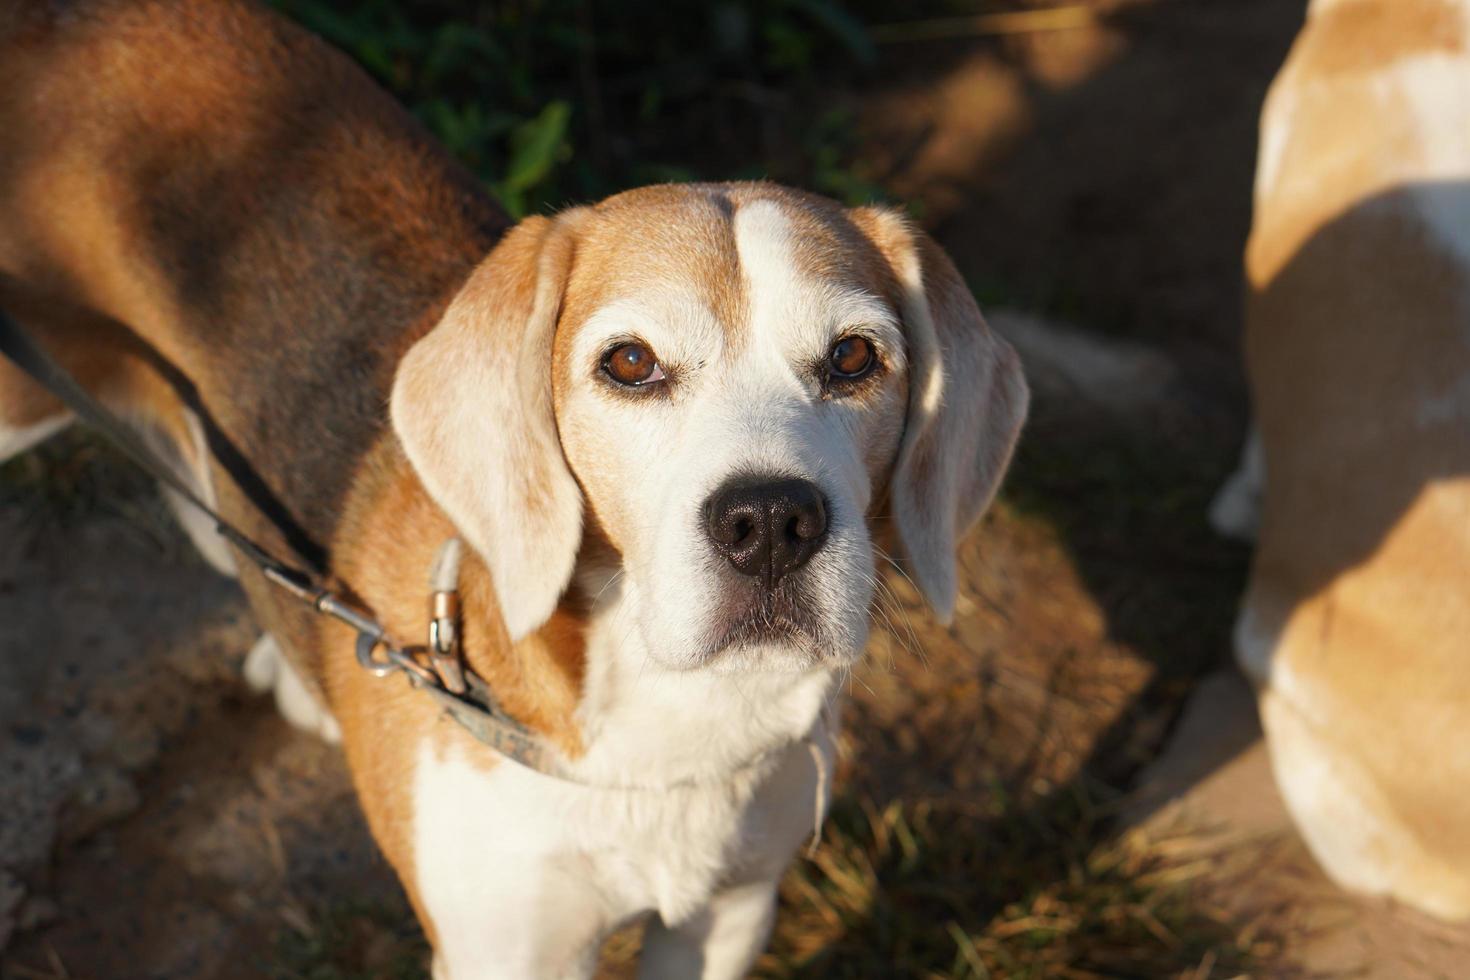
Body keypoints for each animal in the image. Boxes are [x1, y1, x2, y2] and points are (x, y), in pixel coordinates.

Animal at [0, 0, 1029, 975]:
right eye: (629, 363)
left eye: (854, 358)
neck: (661, 729)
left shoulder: (729, 918)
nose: (772, 521)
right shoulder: (508, 953)